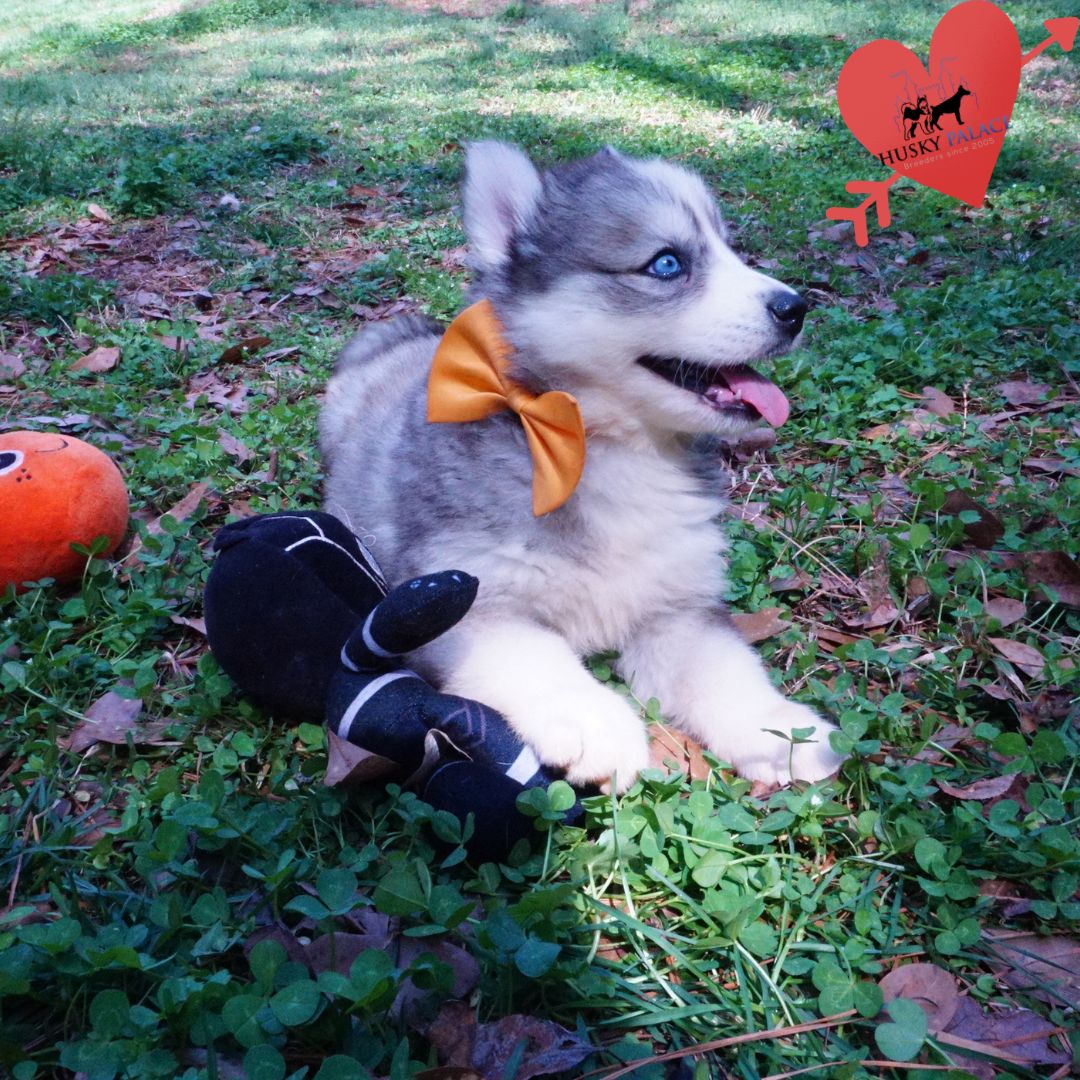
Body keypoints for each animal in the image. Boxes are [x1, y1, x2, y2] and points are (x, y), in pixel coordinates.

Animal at [320, 142, 844, 791]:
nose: (797, 308)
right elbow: (539, 659)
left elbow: (726, 668)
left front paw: (778, 728)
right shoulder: (468, 602)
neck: (607, 449)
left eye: (730, 249)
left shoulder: (676, 606)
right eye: (666, 264)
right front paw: (594, 721)